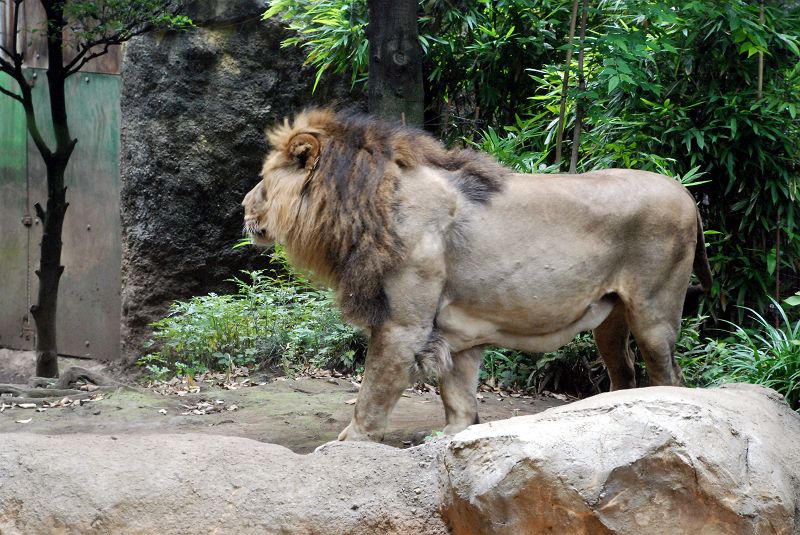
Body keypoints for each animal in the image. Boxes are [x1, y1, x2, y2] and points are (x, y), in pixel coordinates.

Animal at [242, 108, 712, 444]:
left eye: (262, 178)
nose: (243, 207)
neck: (363, 205)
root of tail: (685, 190)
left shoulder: (403, 326)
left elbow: (373, 391)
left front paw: (348, 443)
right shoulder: (457, 331)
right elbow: (460, 401)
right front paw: (451, 439)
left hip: (653, 312)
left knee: (670, 377)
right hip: (611, 319)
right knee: (625, 371)